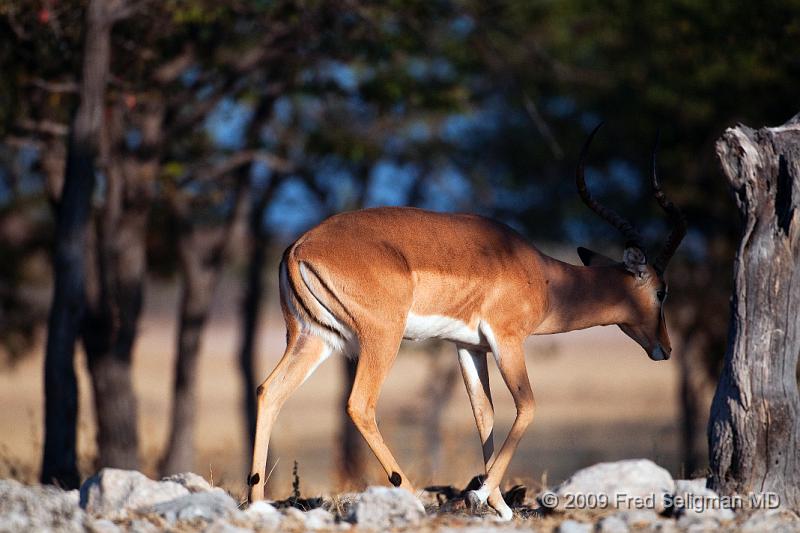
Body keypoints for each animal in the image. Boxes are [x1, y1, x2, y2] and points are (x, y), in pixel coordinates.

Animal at [248, 123, 688, 516]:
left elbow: (484, 416)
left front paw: (498, 505)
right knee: (359, 404)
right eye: (662, 291)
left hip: (313, 338)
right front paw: (479, 496)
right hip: (381, 338)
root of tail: (298, 246)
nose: (665, 348)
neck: (545, 278)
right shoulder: (507, 340)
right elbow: (527, 406)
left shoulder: (469, 347)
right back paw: (411, 496)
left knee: (269, 391)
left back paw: (257, 502)